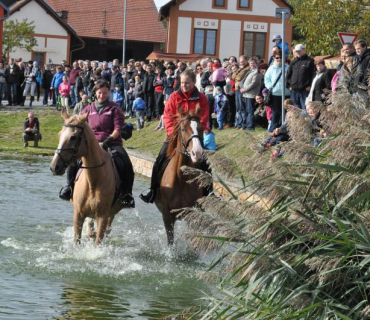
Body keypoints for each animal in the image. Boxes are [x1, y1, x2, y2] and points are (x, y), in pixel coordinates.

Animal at [49, 110, 125, 245]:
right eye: (59, 135)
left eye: (73, 137)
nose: (54, 167)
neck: (93, 180)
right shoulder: (78, 215)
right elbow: (77, 240)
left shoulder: (102, 217)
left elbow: (98, 241)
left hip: (112, 213)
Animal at [155, 107, 208, 245]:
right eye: (183, 129)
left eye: (201, 128)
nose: (197, 153)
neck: (181, 179)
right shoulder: (167, 216)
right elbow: (170, 242)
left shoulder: (192, 213)